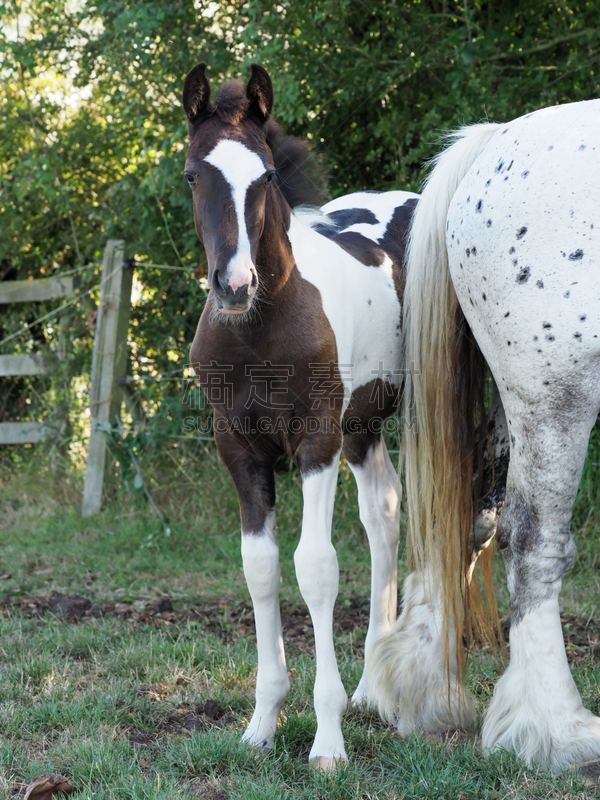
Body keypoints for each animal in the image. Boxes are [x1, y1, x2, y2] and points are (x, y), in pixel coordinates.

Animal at [183, 64, 418, 768]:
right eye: (192, 175)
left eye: (263, 176)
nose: (235, 285)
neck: (261, 330)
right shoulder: (239, 448)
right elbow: (259, 568)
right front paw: (262, 724)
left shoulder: (315, 442)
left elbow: (315, 567)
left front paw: (327, 740)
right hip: (363, 427)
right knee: (384, 513)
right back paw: (373, 686)